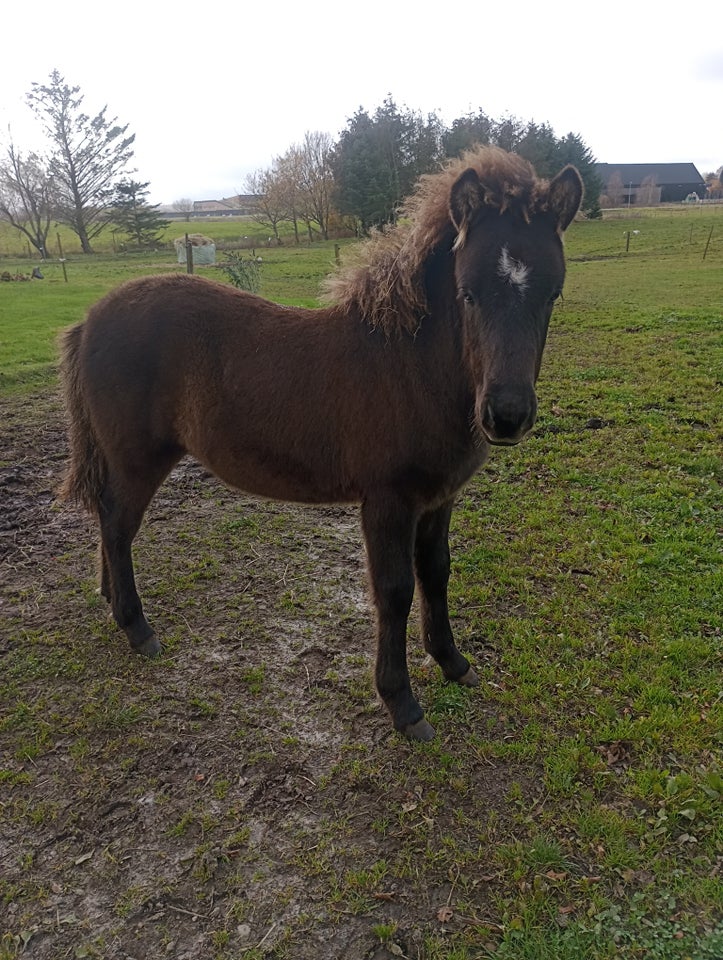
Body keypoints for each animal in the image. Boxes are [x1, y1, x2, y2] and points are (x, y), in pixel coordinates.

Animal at [60, 146, 584, 740]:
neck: (410, 368)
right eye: (468, 293)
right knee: (117, 526)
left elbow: (437, 572)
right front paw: (403, 704)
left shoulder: (438, 498)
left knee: (109, 524)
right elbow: (394, 591)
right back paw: (137, 628)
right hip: (136, 459)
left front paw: (453, 663)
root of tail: (89, 319)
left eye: (552, 293)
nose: (506, 416)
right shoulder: (387, 501)